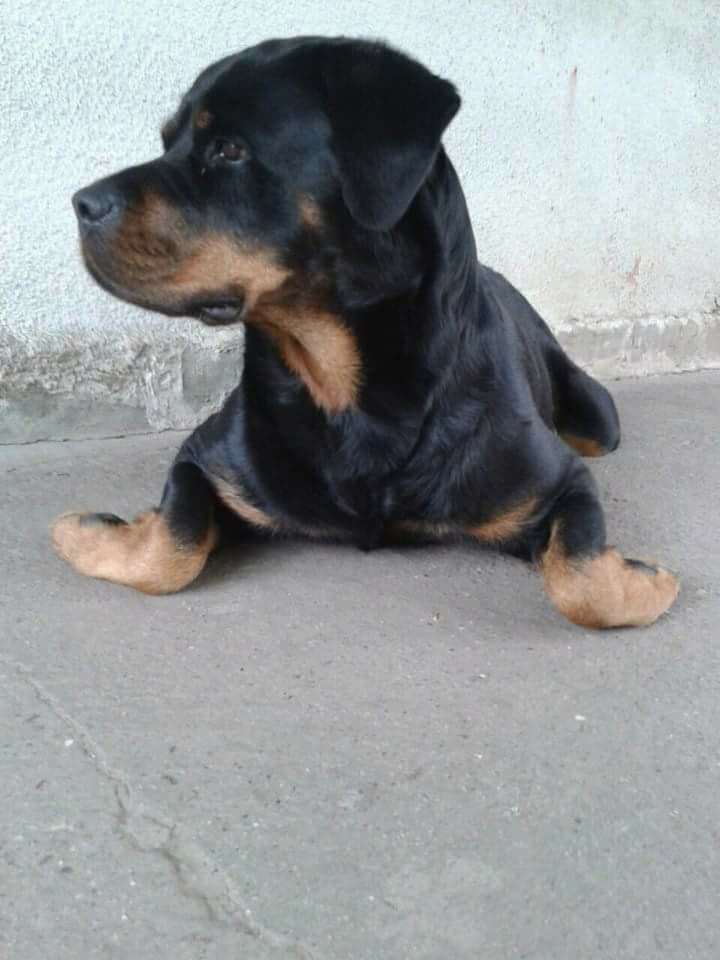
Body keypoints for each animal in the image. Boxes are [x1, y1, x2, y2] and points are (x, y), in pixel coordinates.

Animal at [49, 35, 676, 632]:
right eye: (166, 142)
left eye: (229, 149)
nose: (81, 203)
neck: (346, 393)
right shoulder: (206, 458)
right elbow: (169, 549)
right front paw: (88, 532)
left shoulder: (560, 481)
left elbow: (584, 587)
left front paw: (648, 581)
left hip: (597, 419)